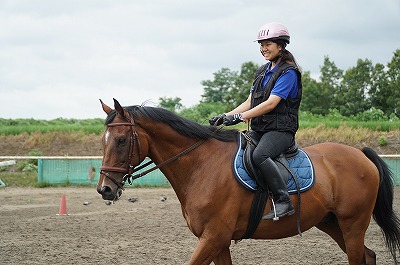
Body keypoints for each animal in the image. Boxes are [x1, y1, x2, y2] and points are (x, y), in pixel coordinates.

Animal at [97, 98, 400, 262]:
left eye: (122, 140)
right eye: (104, 140)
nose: (105, 189)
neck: (201, 165)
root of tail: (359, 153)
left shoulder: (214, 237)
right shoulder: (218, 242)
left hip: (353, 224)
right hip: (331, 223)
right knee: (368, 256)